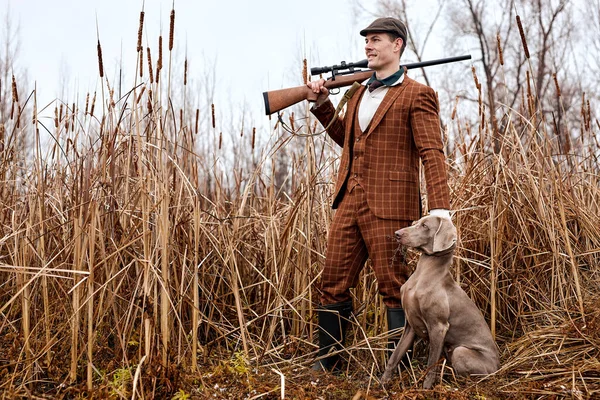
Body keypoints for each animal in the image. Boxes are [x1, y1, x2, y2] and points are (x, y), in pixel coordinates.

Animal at [382, 214, 500, 390]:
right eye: (415, 223)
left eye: (425, 226)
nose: (397, 233)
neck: (424, 273)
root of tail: (499, 366)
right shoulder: (410, 325)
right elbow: (395, 355)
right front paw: (383, 381)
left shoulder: (438, 327)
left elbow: (431, 364)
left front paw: (426, 388)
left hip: (461, 352)